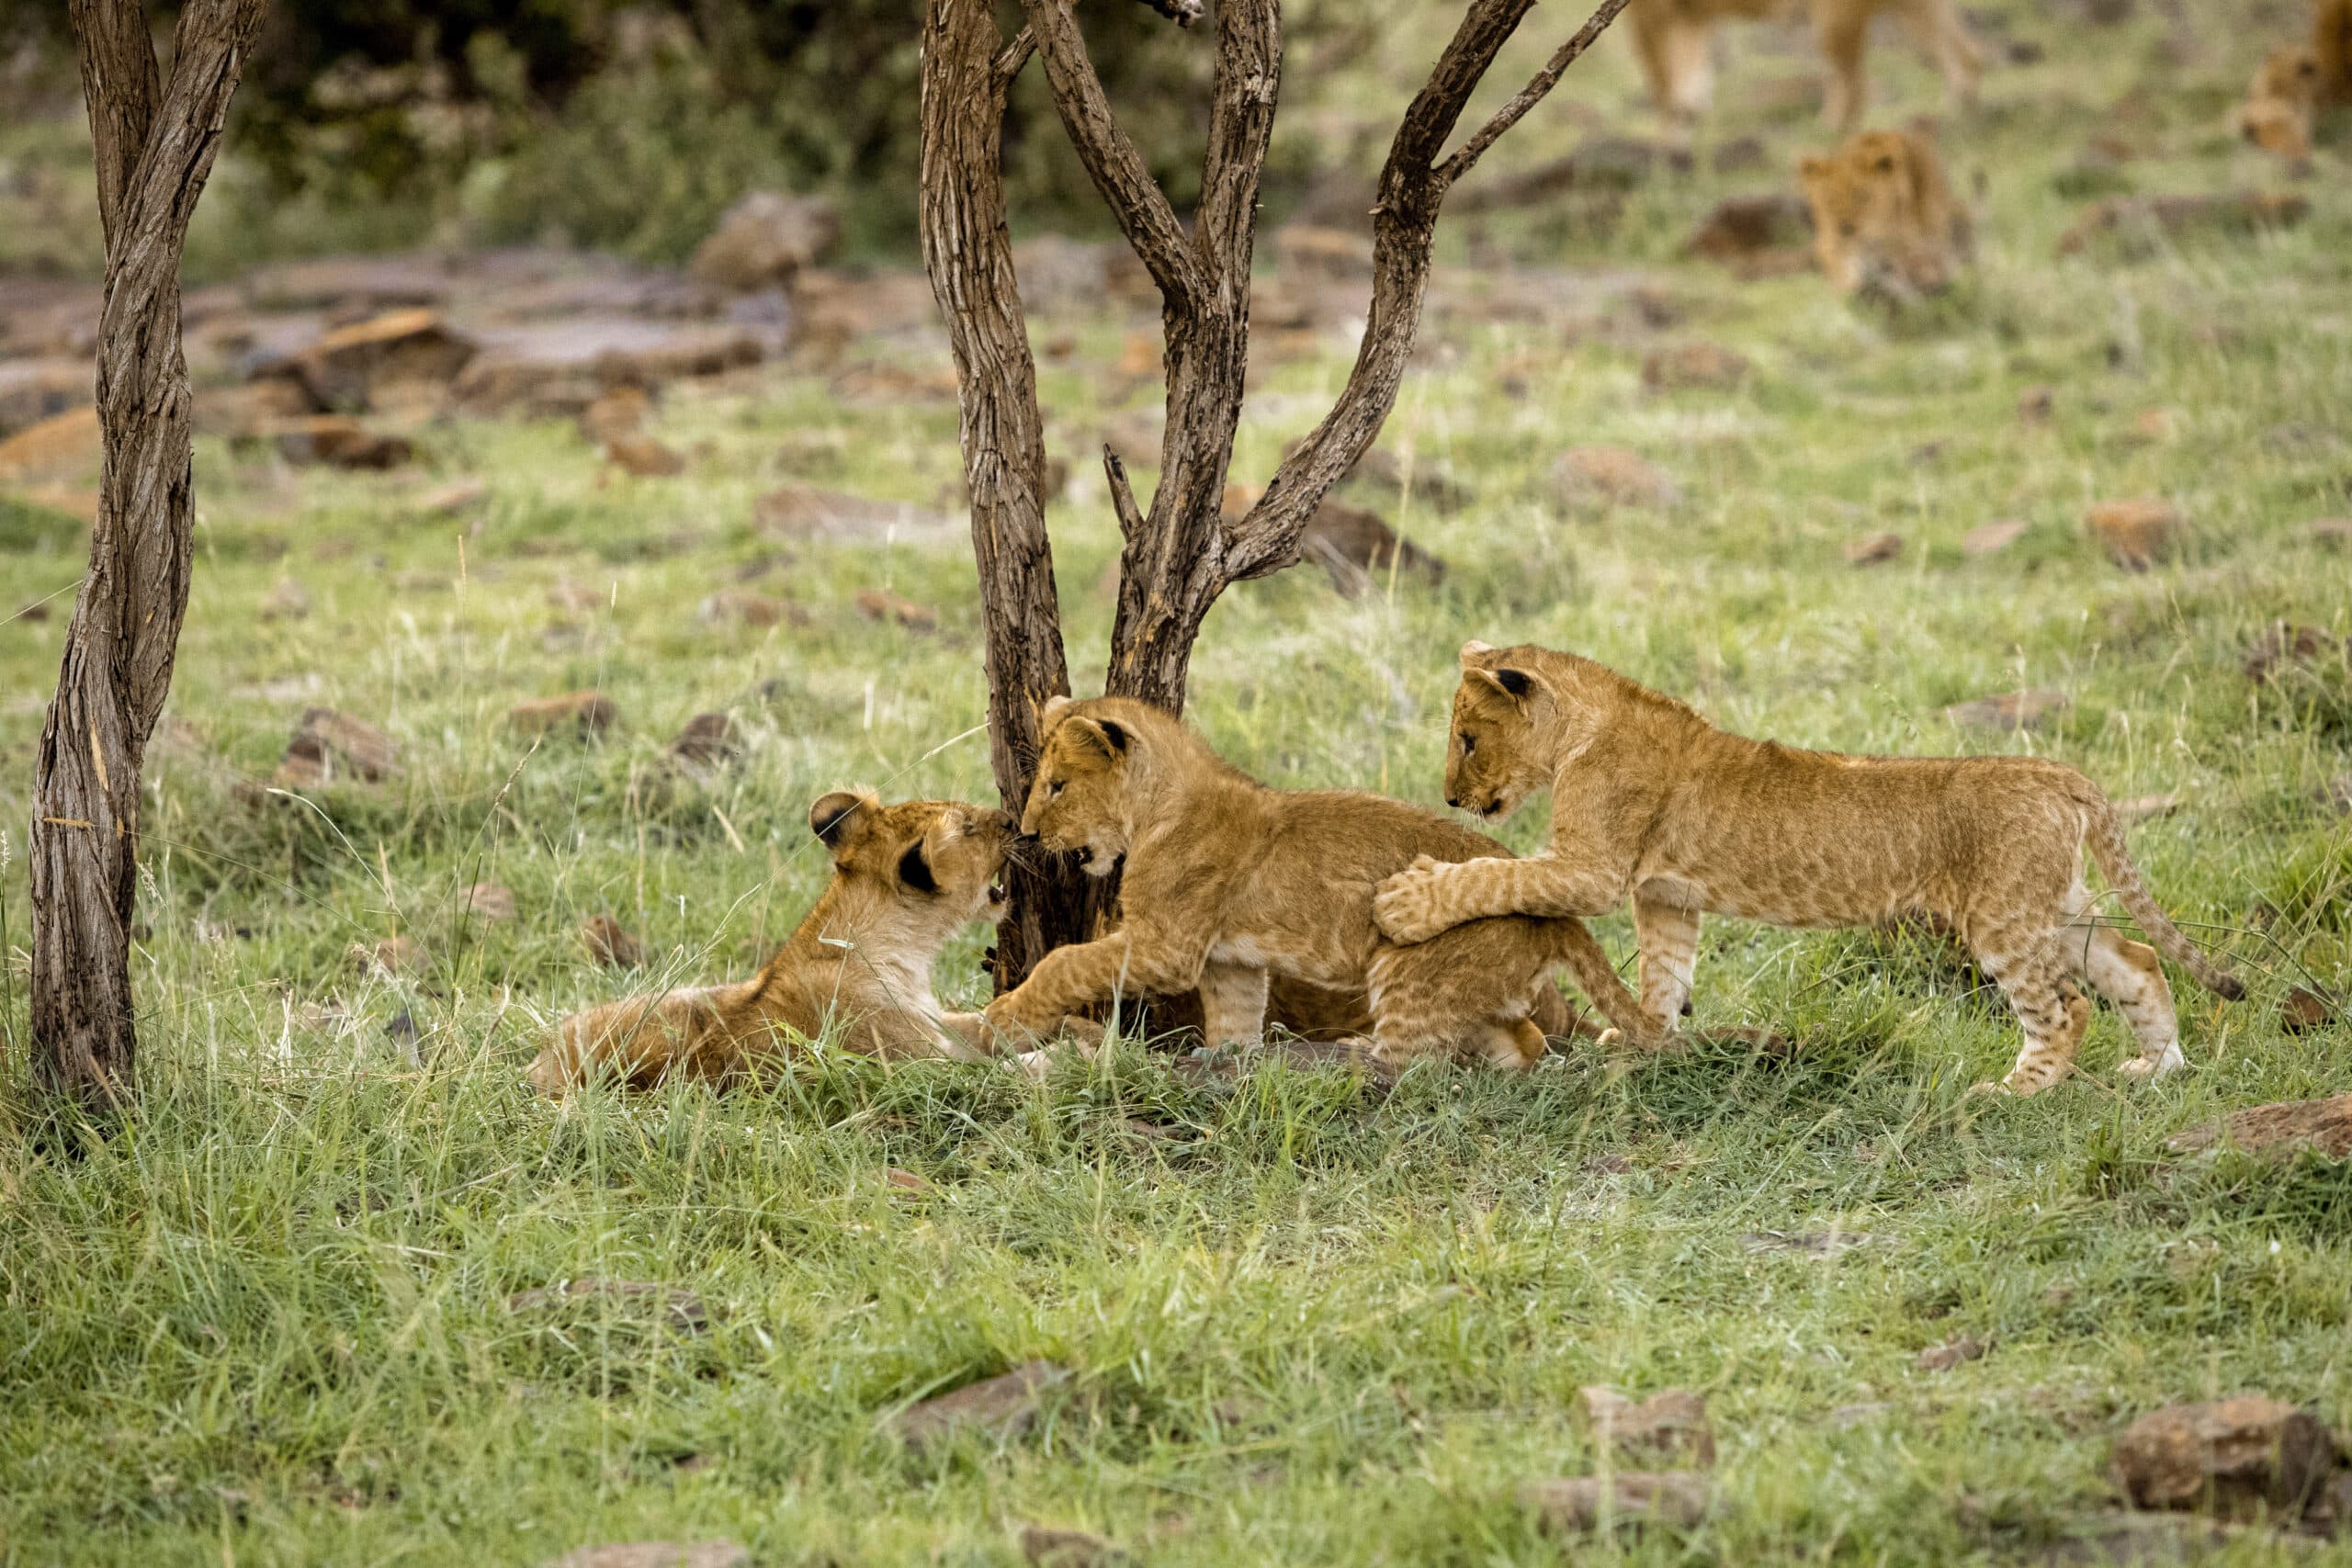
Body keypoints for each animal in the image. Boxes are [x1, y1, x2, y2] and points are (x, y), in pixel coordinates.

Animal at [1636, 0, 1984, 130]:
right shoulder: (1687, 17)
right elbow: (1691, 67)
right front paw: (1691, 110)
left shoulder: (1649, 16)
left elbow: (1660, 78)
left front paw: (1672, 129)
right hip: (1915, 10)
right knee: (1966, 56)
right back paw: (1956, 114)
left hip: (1832, 20)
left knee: (1854, 85)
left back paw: (1827, 128)